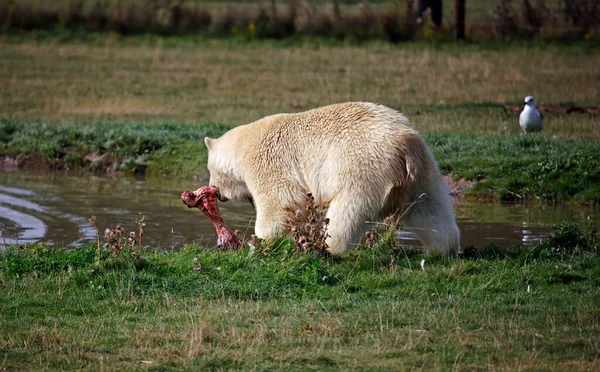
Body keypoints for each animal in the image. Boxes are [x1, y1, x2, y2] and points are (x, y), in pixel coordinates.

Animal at [204, 101, 462, 256]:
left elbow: (280, 201)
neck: (243, 143)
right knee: (430, 209)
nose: (216, 191)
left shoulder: (266, 161)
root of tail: (405, 145)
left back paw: (330, 248)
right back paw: (443, 248)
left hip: (362, 166)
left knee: (348, 210)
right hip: (422, 172)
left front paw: (259, 240)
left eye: (210, 170)